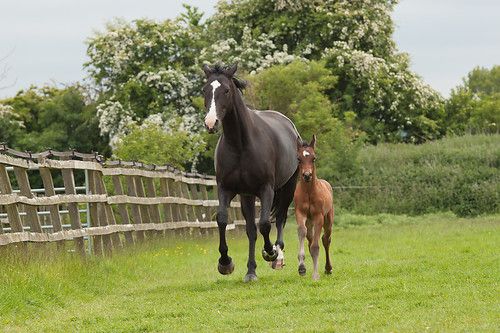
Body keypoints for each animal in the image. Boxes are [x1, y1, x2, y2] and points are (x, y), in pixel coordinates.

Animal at [201, 63, 298, 282]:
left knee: (280, 218)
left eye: (226, 91)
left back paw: (277, 256)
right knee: (251, 231)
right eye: (205, 90)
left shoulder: (266, 189)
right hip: (247, 196)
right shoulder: (226, 189)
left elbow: (265, 224)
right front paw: (225, 263)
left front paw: (270, 252)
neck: (240, 144)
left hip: (288, 187)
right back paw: (251, 271)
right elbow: (222, 219)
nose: (211, 123)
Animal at [292, 135, 336, 280]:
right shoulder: (300, 213)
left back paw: (328, 268)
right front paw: (301, 267)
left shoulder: (318, 217)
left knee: (325, 240)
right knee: (310, 239)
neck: (309, 193)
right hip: (310, 222)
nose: (307, 175)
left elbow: (316, 246)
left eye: (314, 158)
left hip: (328, 220)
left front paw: (315, 275)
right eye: (298, 158)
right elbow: (301, 231)